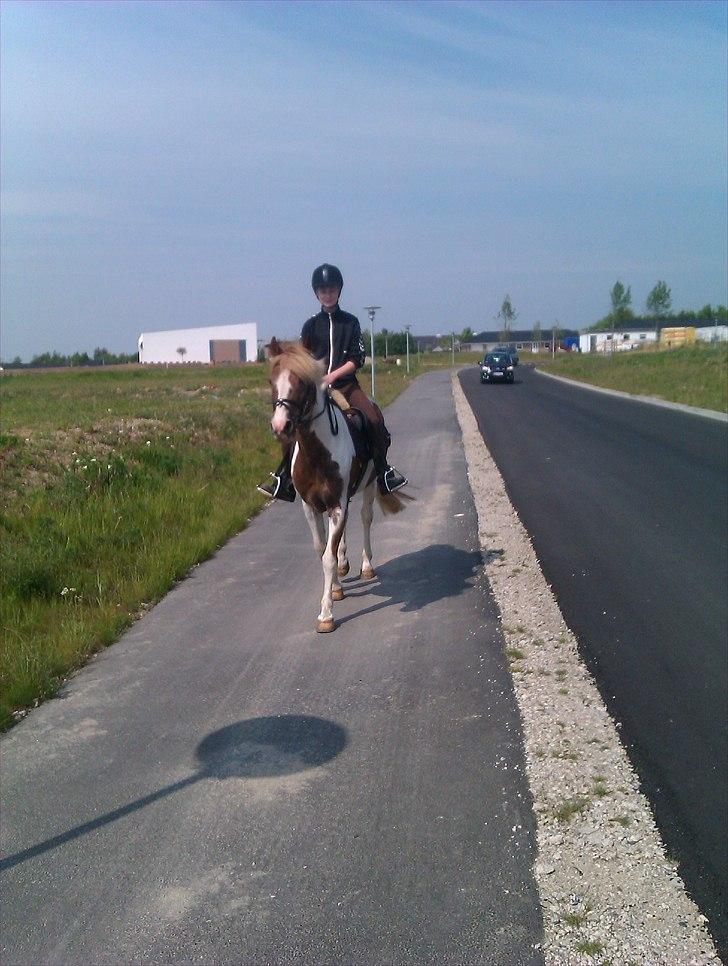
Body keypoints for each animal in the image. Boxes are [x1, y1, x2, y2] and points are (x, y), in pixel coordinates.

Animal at [266, 340, 410, 636]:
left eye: (301, 382)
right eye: (272, 381)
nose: (281, 426)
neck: (317, 454)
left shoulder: (337, 505)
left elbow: (327, 558)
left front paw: (326, 615)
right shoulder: (311, 506)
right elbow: (323, 549)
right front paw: (335, 588)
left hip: (368, 486)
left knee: (365, 519)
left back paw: (366, 566)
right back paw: (344, 567)